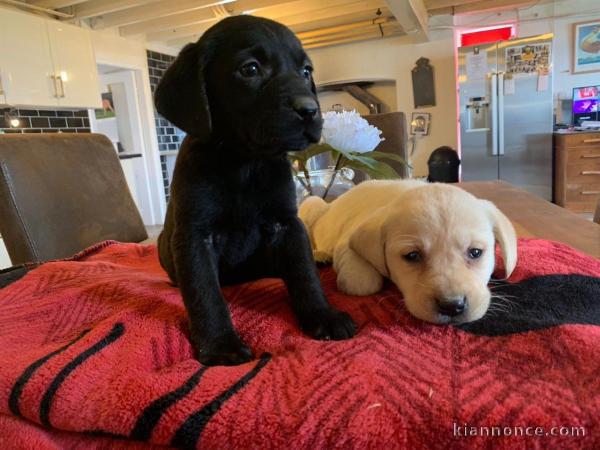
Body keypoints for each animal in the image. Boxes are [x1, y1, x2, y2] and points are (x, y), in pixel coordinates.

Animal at [154, 16, 356, 366]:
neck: (244, 164)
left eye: (306, 70)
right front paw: (220, 345)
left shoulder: (288, 225)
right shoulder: (194, 236)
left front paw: (323, 314)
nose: (310, 110)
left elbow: (304, 275)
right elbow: (204, 293)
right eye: (250, 69)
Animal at [302, 179, 516, 324]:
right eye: (412, 256)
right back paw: (319, 255)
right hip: (311, 205)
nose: (452, 306)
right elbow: (362, 282)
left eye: (475, 252)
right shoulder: (347, 240)